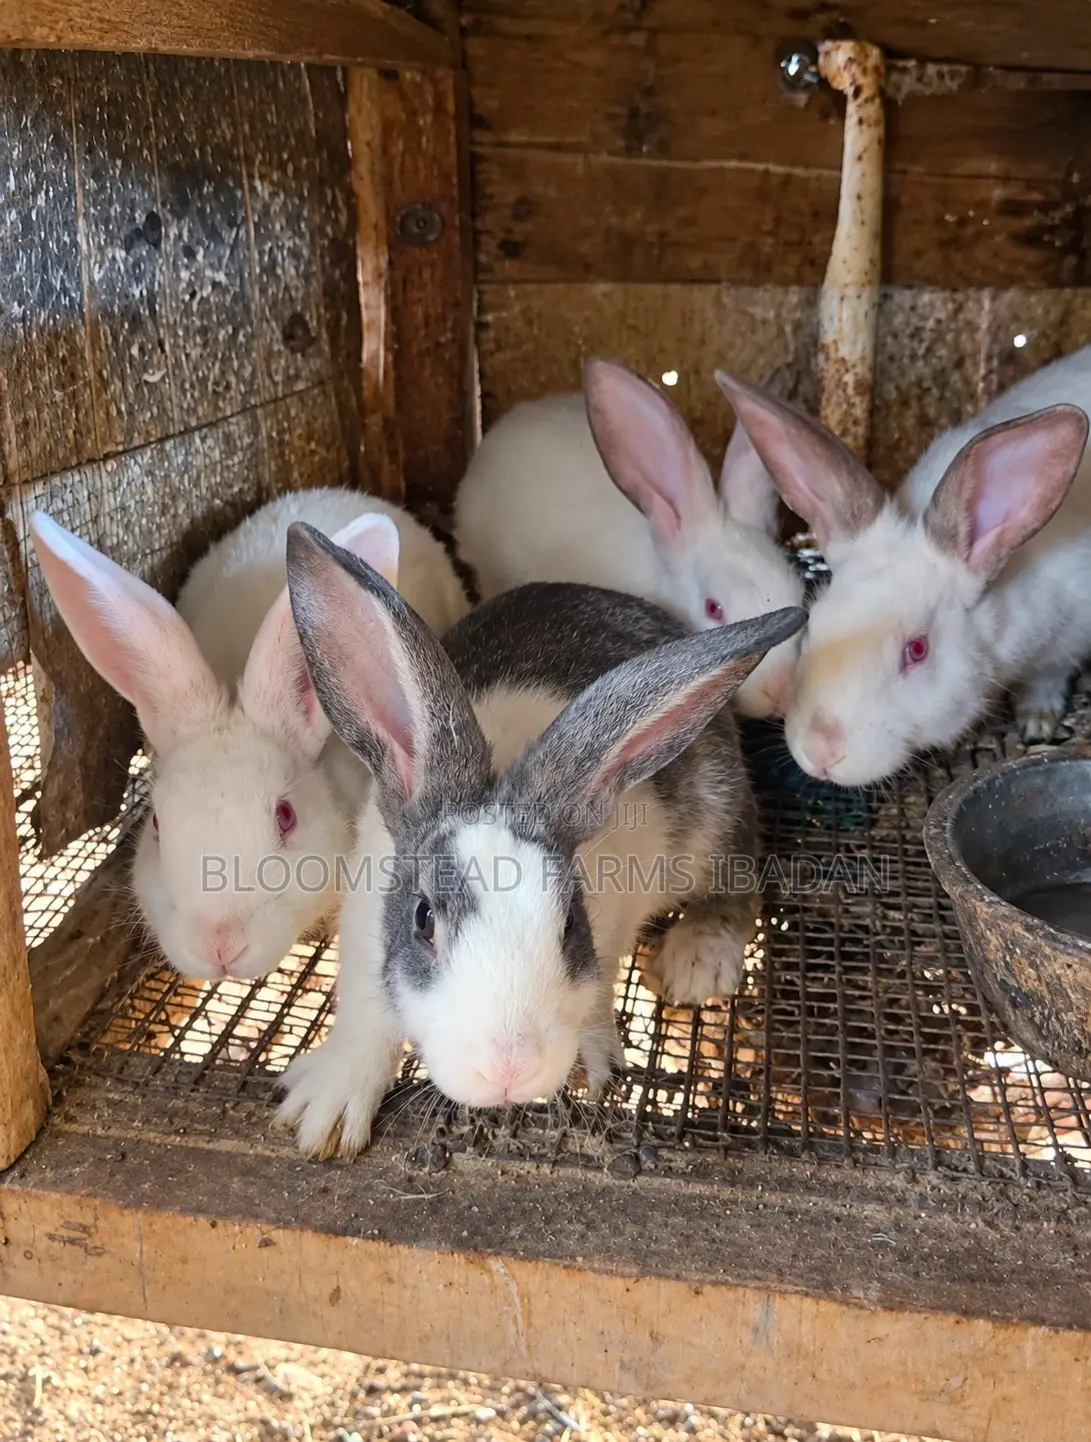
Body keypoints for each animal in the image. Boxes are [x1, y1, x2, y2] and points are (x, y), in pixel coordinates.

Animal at [275, 519, 805, 1159]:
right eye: (424, 919)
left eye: (570, 923)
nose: (509, 1073)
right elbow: (365, 1016)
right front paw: (325, 1114)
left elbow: (598, 990)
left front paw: (585, 1062)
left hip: (717, 815)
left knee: (739, 876)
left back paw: (696, 959)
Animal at [714, 350, 1091, 788]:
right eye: (812, 624)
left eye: (917, 650)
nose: (820, 752)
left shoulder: (1069, 635)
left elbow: (1049, 676)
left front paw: (1036, 719)